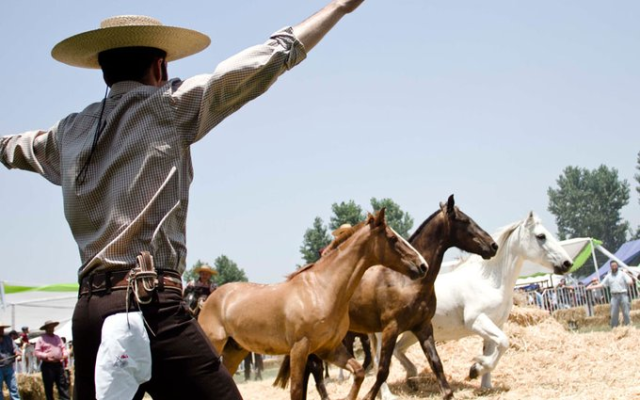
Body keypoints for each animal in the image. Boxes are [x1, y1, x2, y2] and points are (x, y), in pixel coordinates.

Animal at [278, 196, 498, 400]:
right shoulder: (391, 328)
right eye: (464, 221)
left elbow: (436, 363)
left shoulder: (423, 327)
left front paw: (448, 391)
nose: (493, 245)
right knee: (315, 369)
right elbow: (383, 370)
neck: (407, 281)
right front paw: (369, 396)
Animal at [380, 211, 576, 396]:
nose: (567, 263)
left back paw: (412, 379)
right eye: (541, 236)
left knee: (397, 350)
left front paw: (484, 382)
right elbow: (504, 342)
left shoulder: (496, 324)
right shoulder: (476, 321)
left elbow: (494, 349)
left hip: (412, 332)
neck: (490, 281)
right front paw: (476, 368)